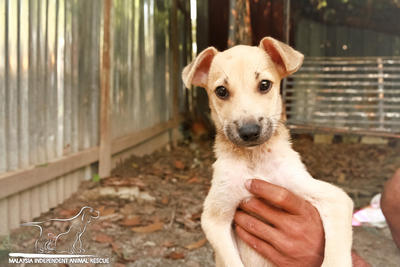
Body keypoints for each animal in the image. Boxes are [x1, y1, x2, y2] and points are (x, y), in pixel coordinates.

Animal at [181, 37, 354, 267]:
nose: (249, 131)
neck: (254, 160)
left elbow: (335, 255)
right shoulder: (215, 216)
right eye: (221, 91)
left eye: (264, 85)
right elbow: (231, 260)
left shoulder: (332, 196)